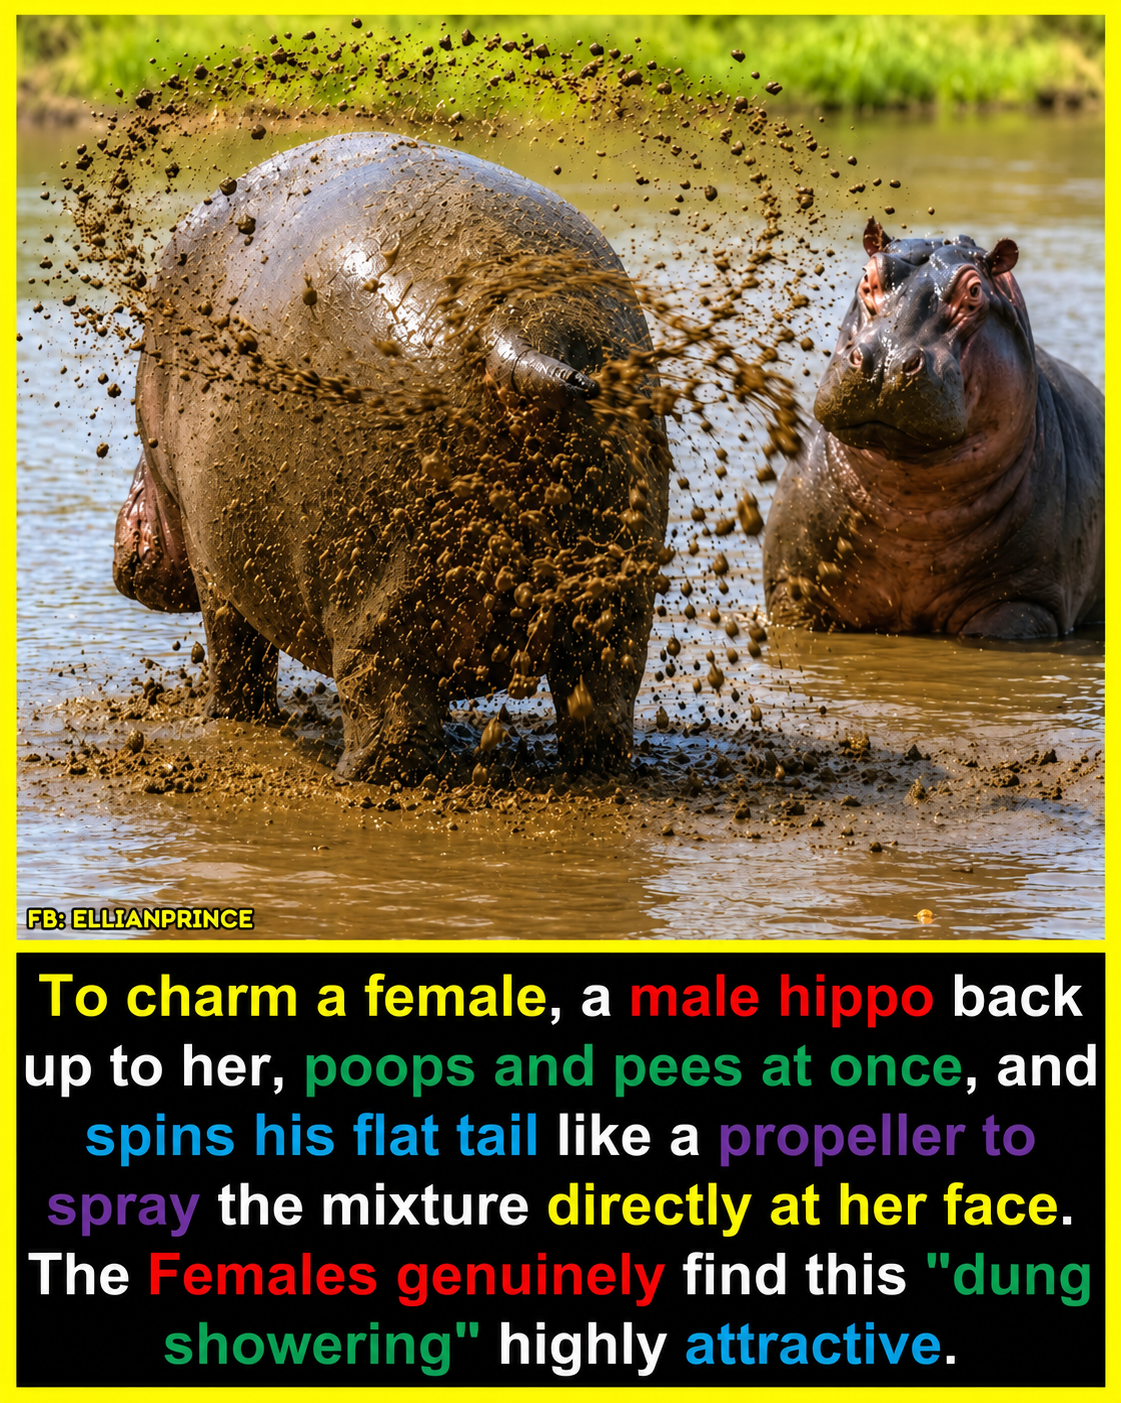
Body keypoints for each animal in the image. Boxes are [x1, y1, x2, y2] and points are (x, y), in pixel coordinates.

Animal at [112, 133, 672, 778]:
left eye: (140, 435)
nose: (124, 557)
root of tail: (511, 339)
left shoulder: (213, 565)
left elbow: (236, 656)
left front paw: (224, 722)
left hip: (376, 582)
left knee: (383, 703)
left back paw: (354, 775)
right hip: (616, 583)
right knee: (601, 694)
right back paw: (595, 771)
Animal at [763, 219, 1104, 637]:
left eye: (974, 291)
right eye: (867, 276)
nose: (887, 360)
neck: (909, 510)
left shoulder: (1025, 602)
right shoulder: (793, 591)